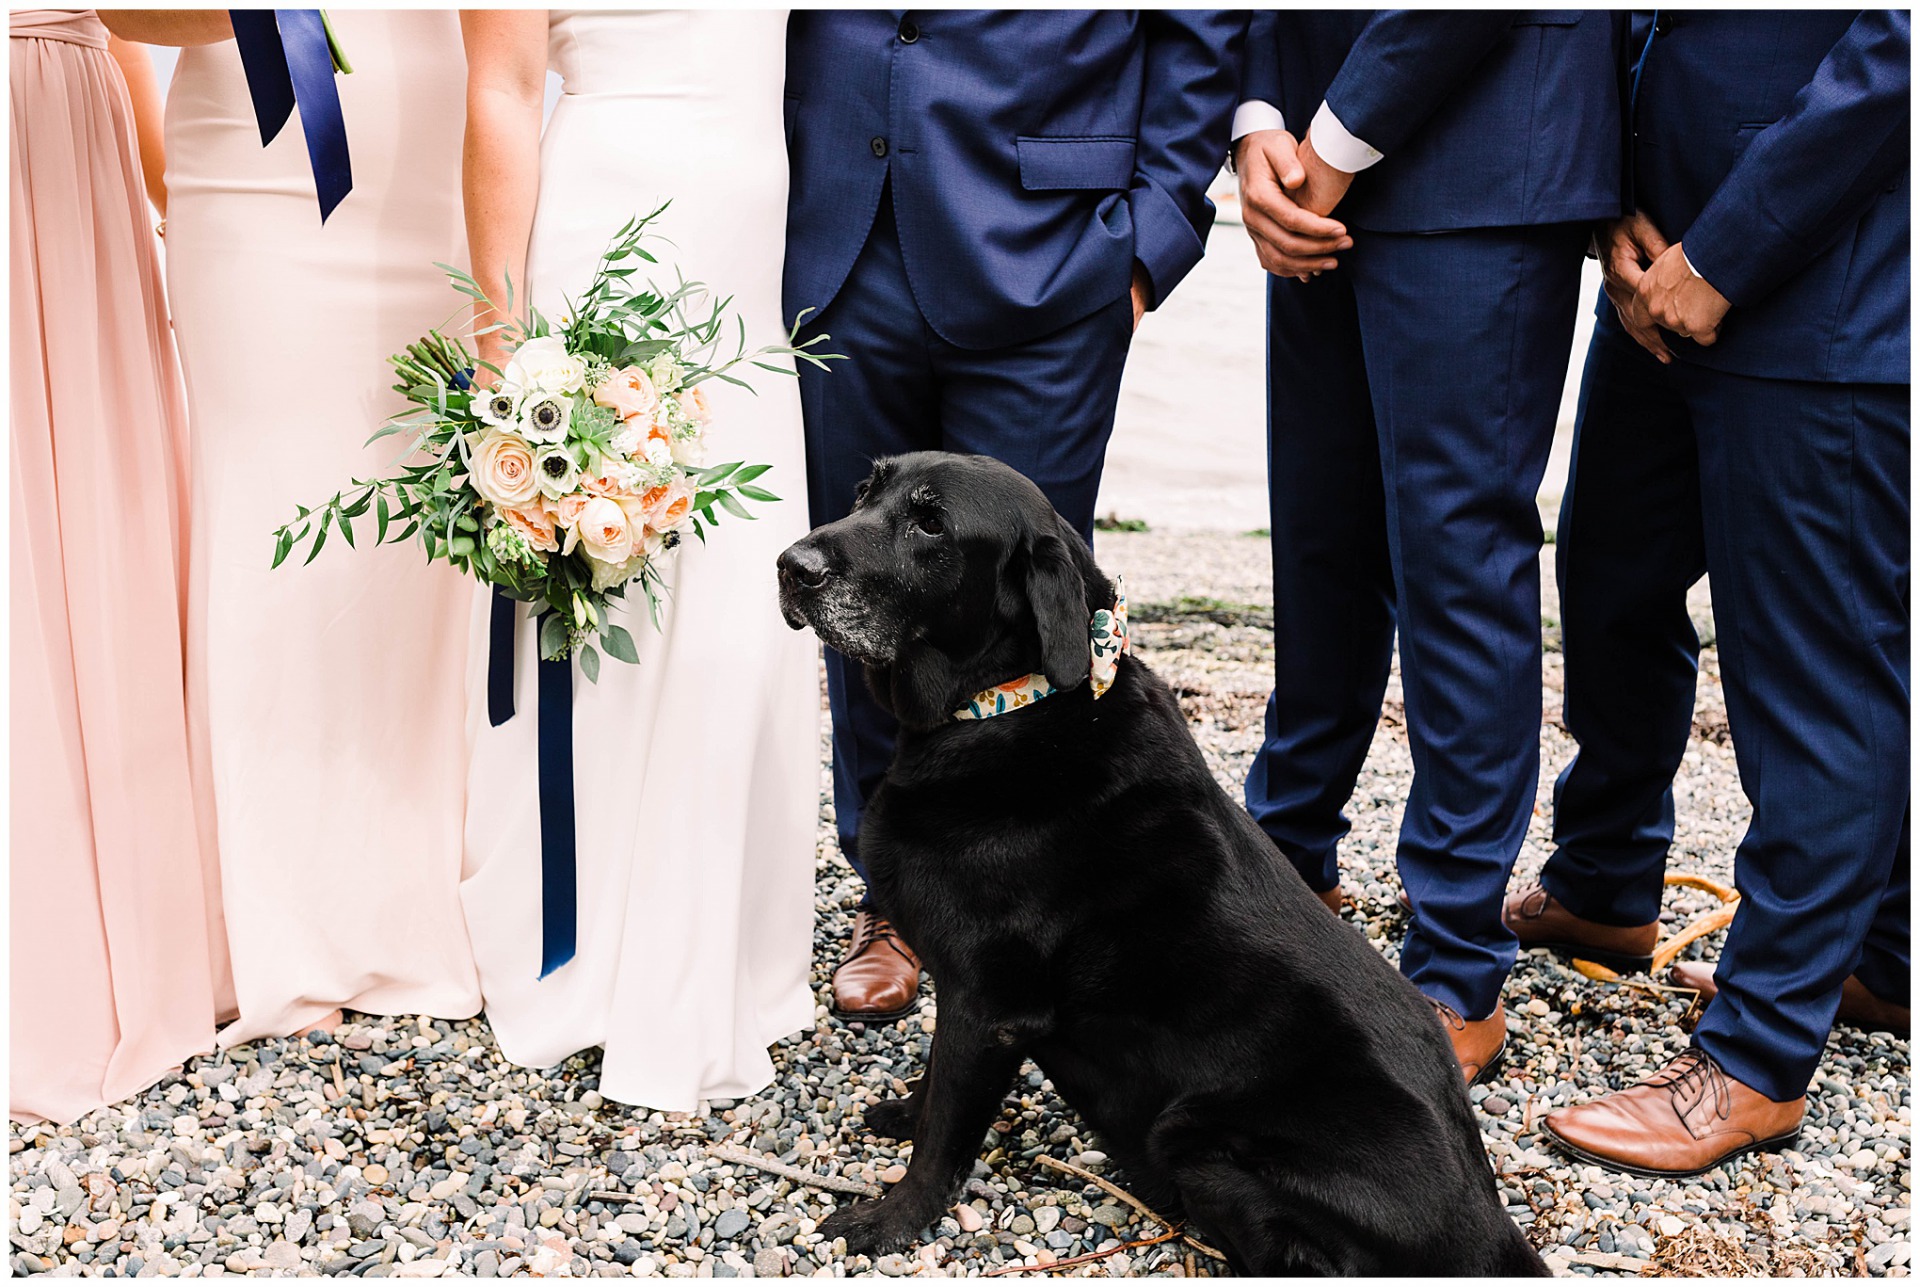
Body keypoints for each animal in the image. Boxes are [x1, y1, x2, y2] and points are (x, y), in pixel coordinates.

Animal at [775, 457, 1543, 1283]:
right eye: (866, 492)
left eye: (931, 523)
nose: (790, 565)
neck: (1007, 706)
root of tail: (1491, 1229)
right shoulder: (963, 995)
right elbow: (933, 1090)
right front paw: (902, 1112)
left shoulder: (989, 1005)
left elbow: (945, 1133)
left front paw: (889, 1219)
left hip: (1193, 1134)